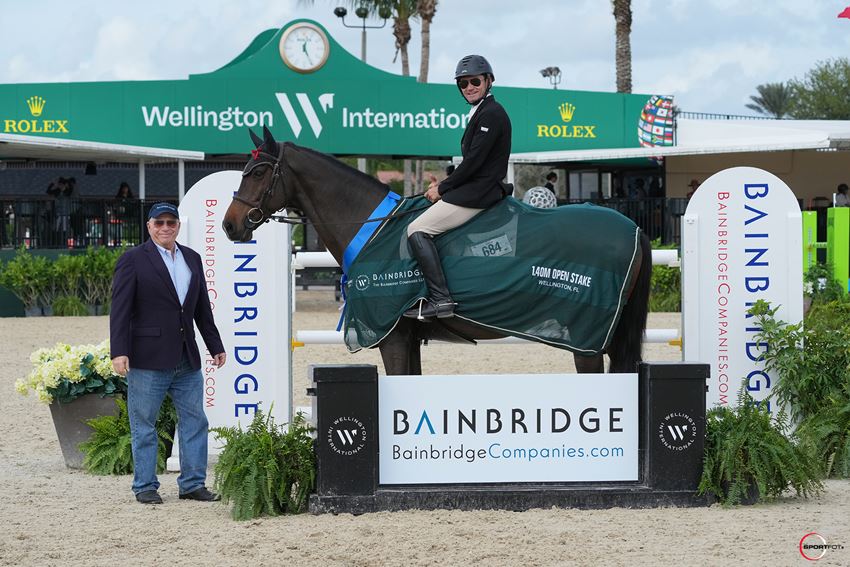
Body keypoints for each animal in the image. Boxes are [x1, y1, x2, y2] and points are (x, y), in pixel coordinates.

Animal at [220, 129, 648, 378]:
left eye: (258, 172)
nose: (230, 225)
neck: (370, 224)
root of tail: (634, 229)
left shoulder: (392, 335)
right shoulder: (408, 338)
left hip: (587, 338)